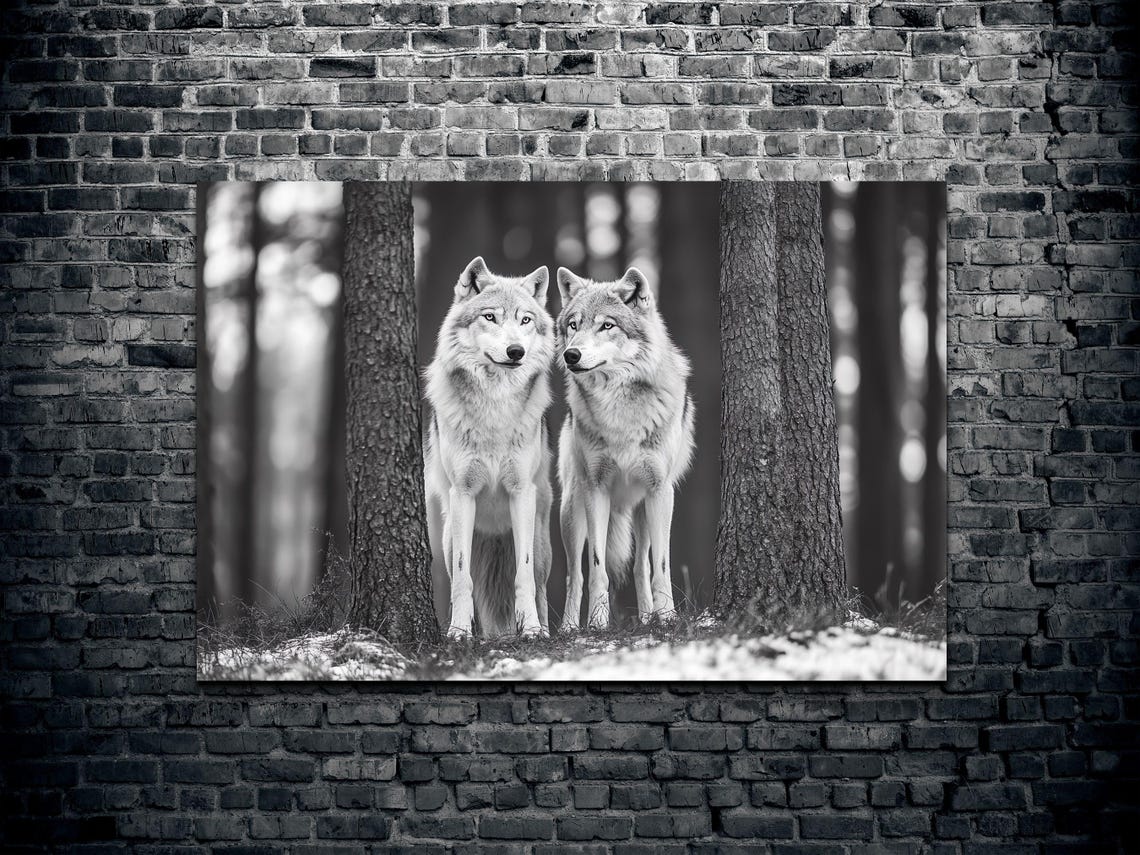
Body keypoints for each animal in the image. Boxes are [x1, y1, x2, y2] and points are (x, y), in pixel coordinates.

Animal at [423, 256, 555, 640]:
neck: (495, 407)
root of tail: (495, 532)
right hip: (448, 537)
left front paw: (532, 631)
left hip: (541, 541)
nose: (515, 351)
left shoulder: (521, 492)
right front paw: (458, 633)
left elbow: (523, 576)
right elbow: (463, 579)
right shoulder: (463, 493)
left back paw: (545, 628)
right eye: (490, 317)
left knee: (540, 584)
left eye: (525, 320)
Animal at [555, 265, 695, 631]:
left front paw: (668, 617)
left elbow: (661, 566)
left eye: (607, 325)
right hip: (571, 508)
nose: (571, 355)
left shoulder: (661, 490)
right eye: (573, 325)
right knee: (573, 575)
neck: (620, 408)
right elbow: (597, 569)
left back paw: (648, 617)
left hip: (645, 508)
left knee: (641, 566)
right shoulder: (596, 490)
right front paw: (597, 624)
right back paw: (568, 627)